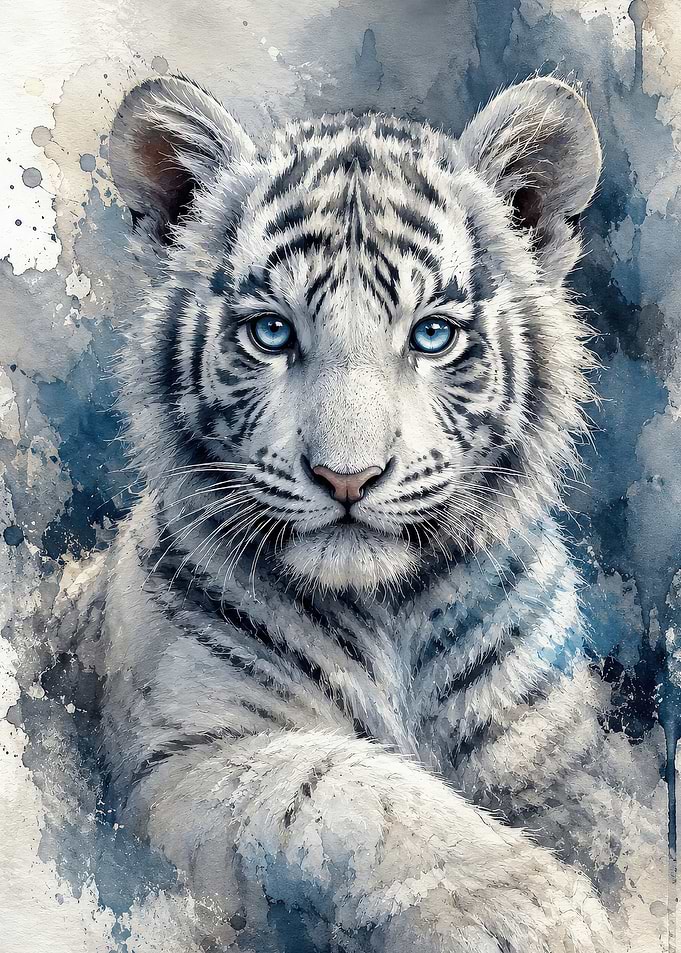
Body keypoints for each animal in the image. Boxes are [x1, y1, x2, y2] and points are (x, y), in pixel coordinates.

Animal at [58, 73, 667, 952]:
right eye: (271, 332)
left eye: (433, 335)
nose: (347, 477)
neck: (389, 614)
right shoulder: (175, 763)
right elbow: (337, 782)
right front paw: (530, 906)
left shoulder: (553, 754)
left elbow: (621, 831)